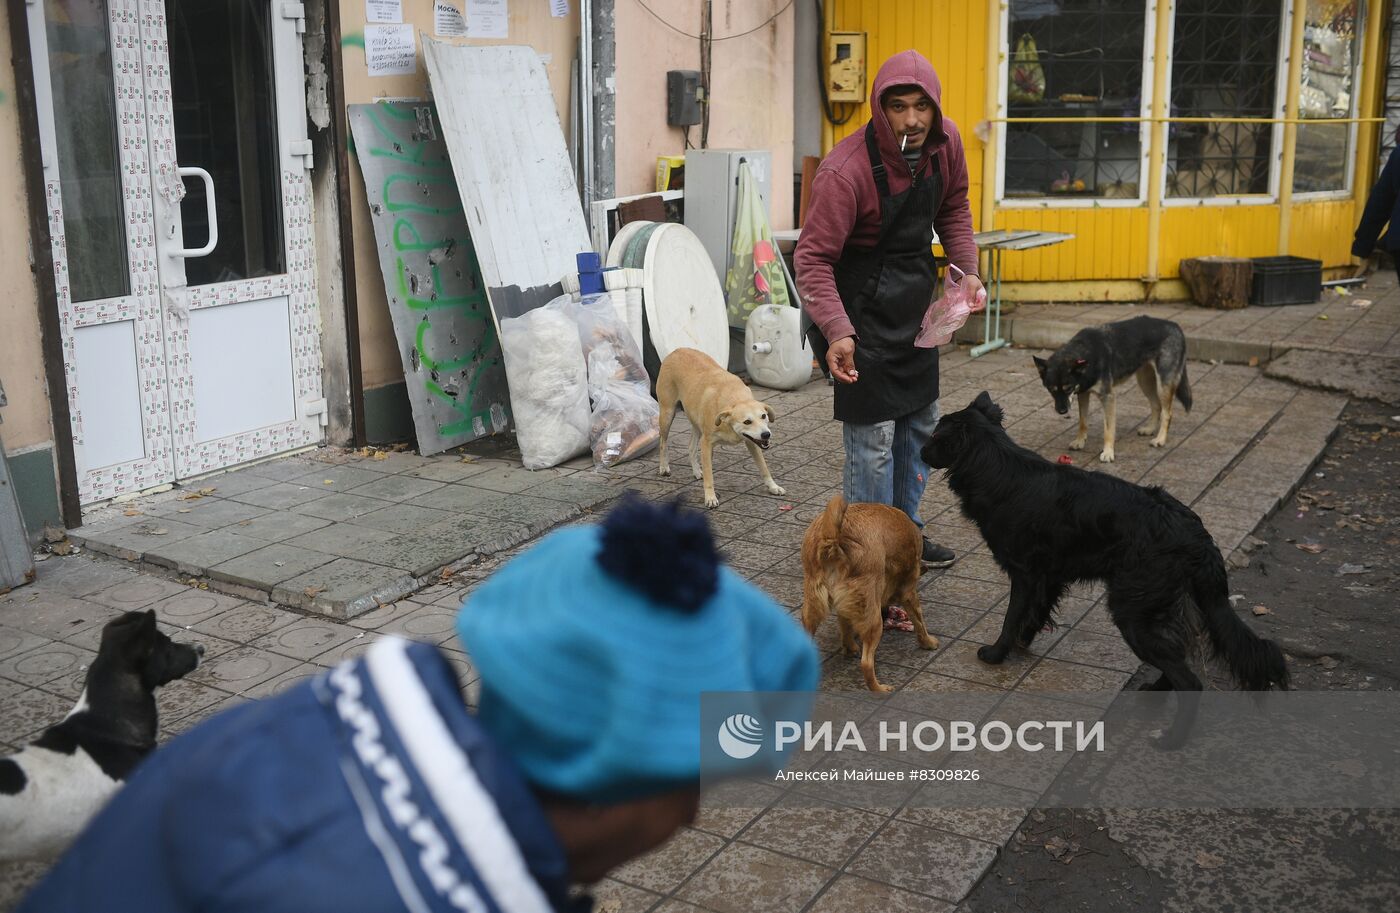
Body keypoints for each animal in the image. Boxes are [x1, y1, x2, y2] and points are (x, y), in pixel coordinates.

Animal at [655, 347, 789, 509]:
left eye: (763, 416)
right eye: (747, 422)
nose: (766, 435)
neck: (736, 400)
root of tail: (677, 350)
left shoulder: (752, 442)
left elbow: (764, 468)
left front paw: (773, 487)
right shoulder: (706, 444)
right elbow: (709, 476)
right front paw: (710, 497)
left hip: (696, 423)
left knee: (691, 446)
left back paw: (696, 471)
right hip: (667, 414)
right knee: (662, 442)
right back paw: (664, 467)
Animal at [1030, 317, 1192, 467]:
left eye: (1068, 388)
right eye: (1050, 389)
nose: (1062, 411)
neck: (1088, 357)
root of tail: (1175, 326)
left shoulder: (1108, 397)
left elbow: (1108, 430)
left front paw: (1108, 453)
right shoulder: (1083, 394)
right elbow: (1083, 422)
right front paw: (1080, 441)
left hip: (1163, 385)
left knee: (1167, 413)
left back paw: (1160, 439)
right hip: (1145, 381)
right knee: (1156, 406)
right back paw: (1150, 429)